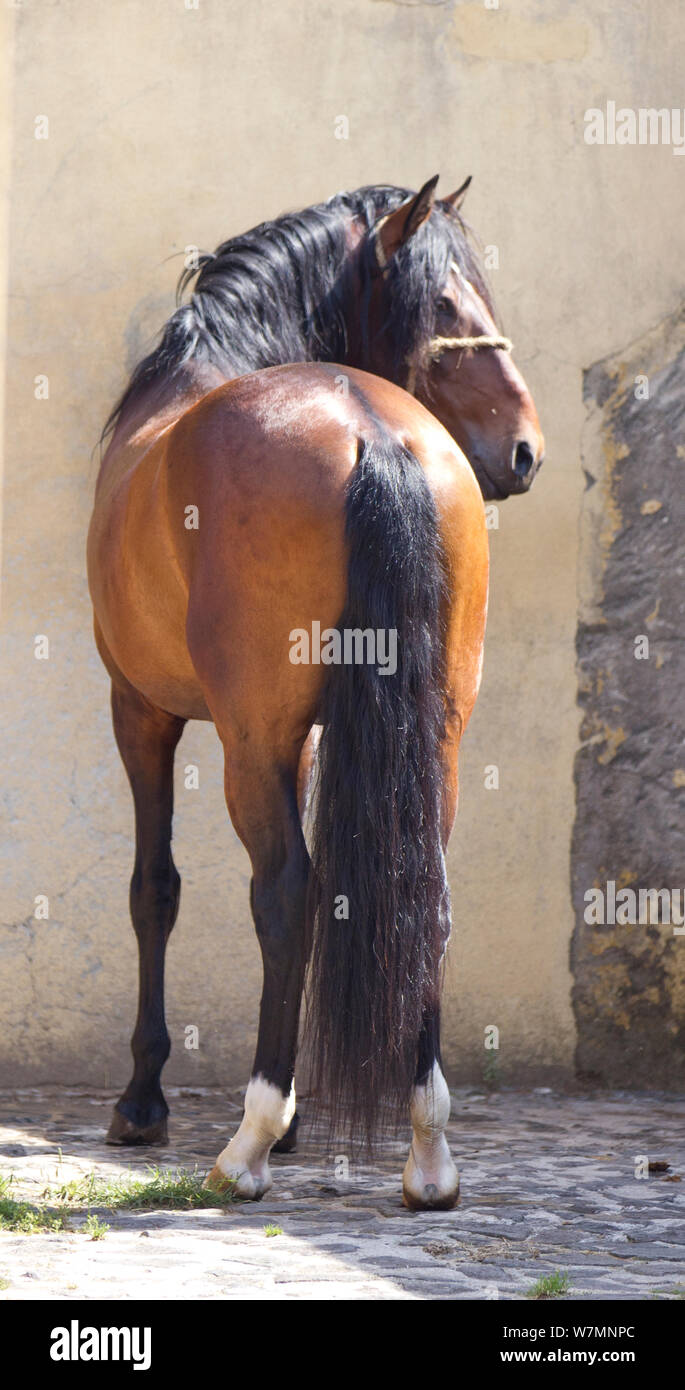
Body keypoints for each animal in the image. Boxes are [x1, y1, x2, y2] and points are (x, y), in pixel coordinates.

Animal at [88, 182, 541, 1206]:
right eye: (444, 304)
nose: (525, 450)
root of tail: (370, 428)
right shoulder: (309, 736)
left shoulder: (142, 710)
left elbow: (154, 889)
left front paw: (144, 1101)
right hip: (434, 736)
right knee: (424, 897)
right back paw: (426, 1150)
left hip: (245, 741)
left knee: (284, 894)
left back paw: (248, 1145)